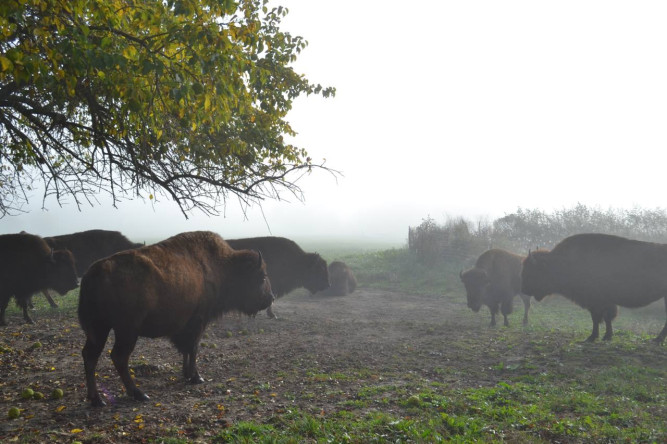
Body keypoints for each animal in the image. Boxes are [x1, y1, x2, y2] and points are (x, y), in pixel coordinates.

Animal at [79, 231, 276, 408]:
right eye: (262, 277)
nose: (271, 298)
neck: (223, 266)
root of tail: (92, 273)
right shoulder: (198, 321)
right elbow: (193, 348)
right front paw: (197, 377)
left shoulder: (186, 326)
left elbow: (185, 349)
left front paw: (186, 374)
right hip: (126, 331)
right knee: (119, 357)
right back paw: (139, 394)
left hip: (99, 329)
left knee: (90, 355)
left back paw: (97, 400)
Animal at [520, 232, 667, 344]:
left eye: (532, 270)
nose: (524, 289)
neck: (560, 262)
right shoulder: (599, 302)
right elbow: (602, 318)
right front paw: (602, 337)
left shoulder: (597, 301)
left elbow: (599, 318)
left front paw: (595, 337)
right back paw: (657, 339)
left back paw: (657, 340)